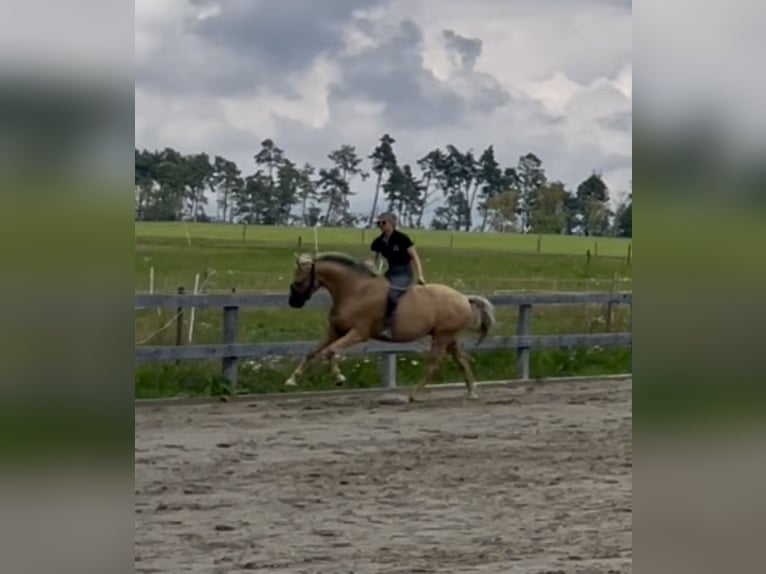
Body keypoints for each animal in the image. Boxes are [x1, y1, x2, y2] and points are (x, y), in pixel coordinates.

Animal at [285, 251, 496, 401]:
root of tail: (464, 298)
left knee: (434, 366)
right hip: (451, 338)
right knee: (462, 362)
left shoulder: (358, 333)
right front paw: (292, 379)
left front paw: (339, 378)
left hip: (442, 337)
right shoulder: (335, 331)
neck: (355, 291)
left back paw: (412, 395)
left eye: (299, 281)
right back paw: (472, 392)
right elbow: (312, 352)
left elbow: (329, 352)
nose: (293, 303)